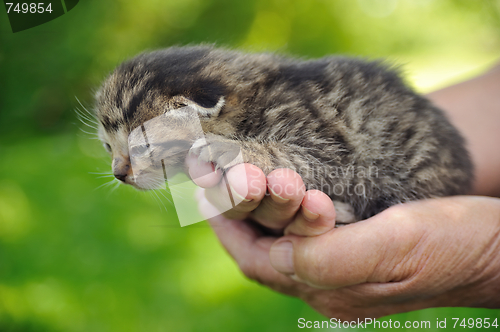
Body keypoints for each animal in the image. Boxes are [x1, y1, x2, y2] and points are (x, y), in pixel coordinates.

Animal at [93, 45, 472, 223]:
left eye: (143, 147)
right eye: (108, 147)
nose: (119, 173)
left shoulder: (333, 145)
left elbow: (303, 156)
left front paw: (228, 147)